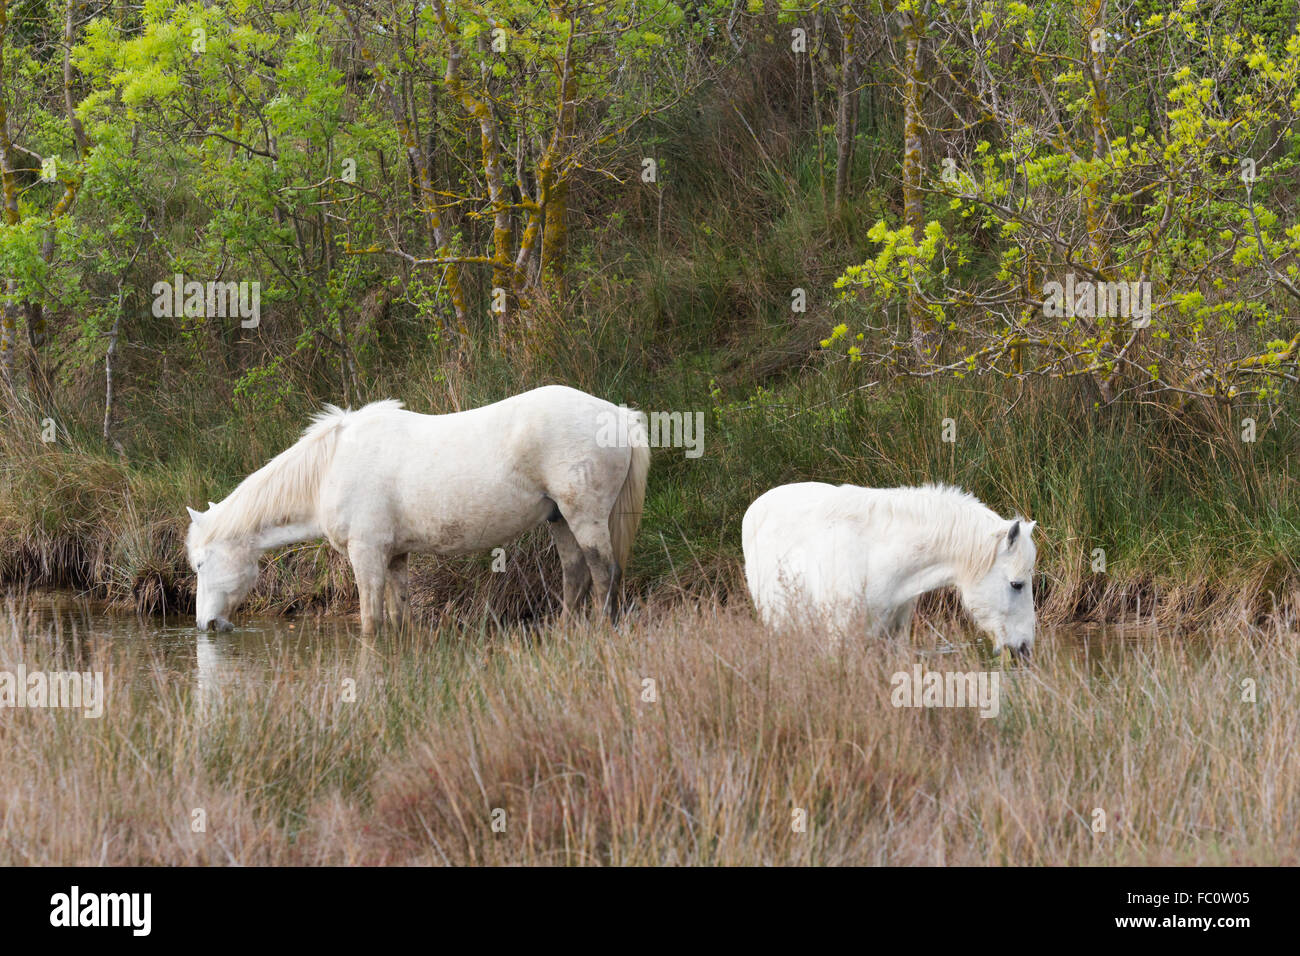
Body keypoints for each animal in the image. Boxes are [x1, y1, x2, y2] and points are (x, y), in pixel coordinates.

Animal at [185, 385, 650, 639]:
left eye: (201, 564)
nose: (206, 624)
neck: (331, 466)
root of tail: (619, 415)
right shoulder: (395, 555)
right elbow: (400, 615)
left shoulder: (367, 554)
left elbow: (371, 620)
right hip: (560, 519)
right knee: (575, 574)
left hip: (585, 516)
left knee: (603, 574)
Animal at [743, 486, 1034, 658]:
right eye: (1016, 584)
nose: (1025, 647)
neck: (876, 560)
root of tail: (756, 505)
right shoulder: (841, 639)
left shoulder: (893, 635)